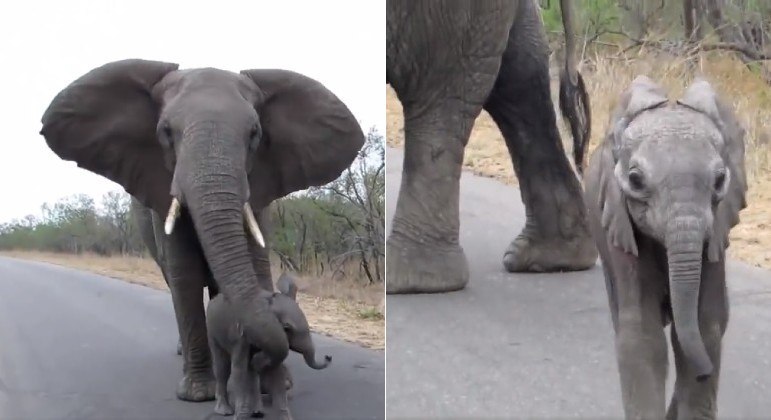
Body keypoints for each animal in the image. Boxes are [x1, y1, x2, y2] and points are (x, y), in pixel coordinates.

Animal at [40, 59, 366, 400]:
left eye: (254, 133)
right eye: (166, 132)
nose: (327, 357)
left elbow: (255, 264)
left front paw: (276, 383)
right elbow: (185, 277)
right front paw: (199, 394)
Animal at [207, 270, 334, 418]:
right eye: (287, 328)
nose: (328, 356)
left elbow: (275, 371)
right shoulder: (240, 337)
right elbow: (239, 369)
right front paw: (239, 416)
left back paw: (257, 411)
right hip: (212, 330)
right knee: (222, 366)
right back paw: (225, 411)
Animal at [584, 76, 748, 420]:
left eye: (720, 180)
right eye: (635, 180)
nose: (705, 373)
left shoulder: (716, 232)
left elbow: (703, 325)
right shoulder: (619, 225)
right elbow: (642, 334)